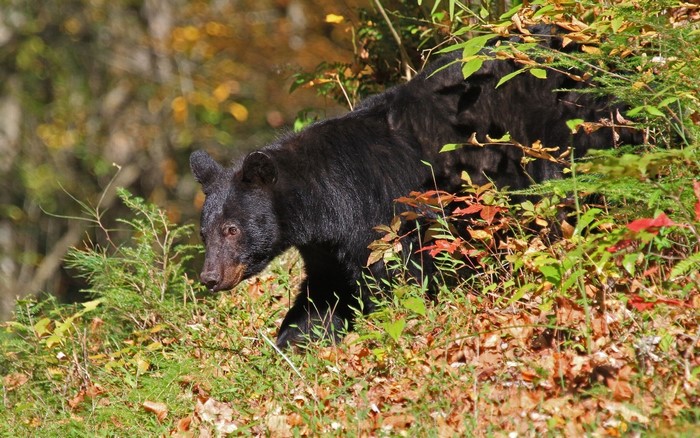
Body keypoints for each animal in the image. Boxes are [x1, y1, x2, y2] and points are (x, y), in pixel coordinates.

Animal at [190, 26, 640, 348]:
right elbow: (322, 296)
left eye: (232, 229)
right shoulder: (326, 248)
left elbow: (397, 276)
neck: (324, 202)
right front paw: (290, 344)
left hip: (559, 131)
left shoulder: (381, 215)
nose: (209, 277)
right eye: (205, 233)